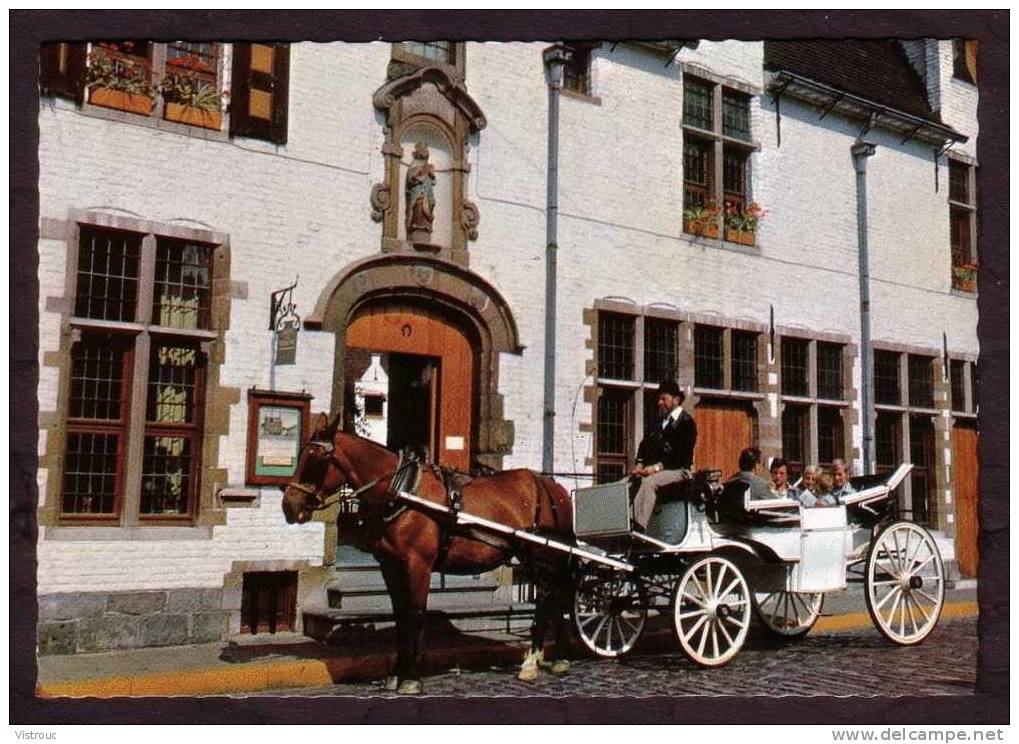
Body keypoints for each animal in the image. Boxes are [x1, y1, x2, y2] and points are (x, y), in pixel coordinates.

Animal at [283, 413, 578, 693]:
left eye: (315, 459)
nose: (289, 505)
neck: (401, 490)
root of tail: (554, 488)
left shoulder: (418, 564)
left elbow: (414, 615)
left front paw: (411, 678)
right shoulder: (390, 565)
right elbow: (400, 616)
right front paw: (396, 674)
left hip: (544, 559)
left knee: (549, 600)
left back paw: (535, 662)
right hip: (535, 560)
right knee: (552, 600)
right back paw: (553, 659)